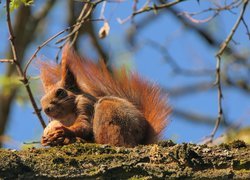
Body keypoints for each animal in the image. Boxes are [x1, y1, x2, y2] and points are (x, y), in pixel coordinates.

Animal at [39, 45, 172, 148]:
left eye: (60, 92)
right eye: (41, 101)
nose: (46, 109)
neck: (67, 117)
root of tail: (141, 140)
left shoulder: (85, 104)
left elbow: (85, 125)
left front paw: (64, 131)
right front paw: (46, 140)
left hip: (110, 113)